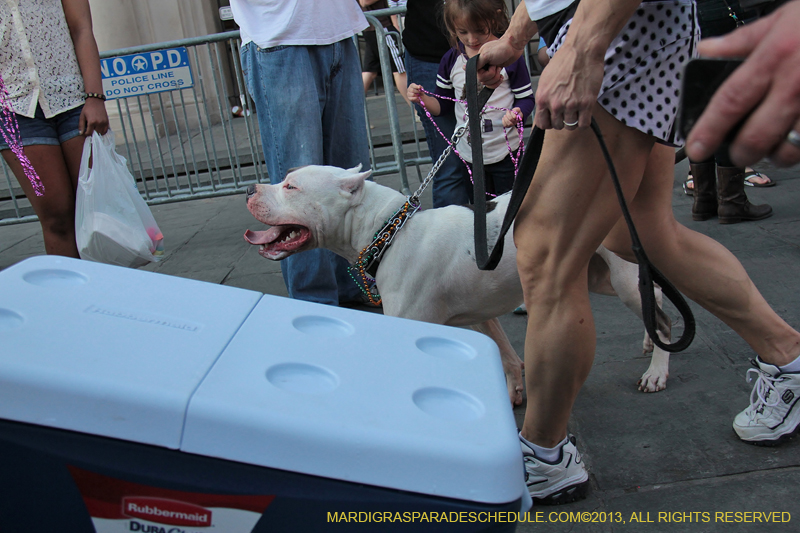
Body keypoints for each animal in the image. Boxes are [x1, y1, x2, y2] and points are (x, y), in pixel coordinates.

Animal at [242, 164, 668, 402]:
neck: (388, 231)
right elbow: (507, 354)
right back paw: (649, 340)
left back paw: (657, 371)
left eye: (291, 186)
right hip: (600, 276)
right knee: (658, 296)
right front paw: (513, 392)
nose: (248, 188)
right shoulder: (478, 314)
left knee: (662, 318)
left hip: (621, 278)